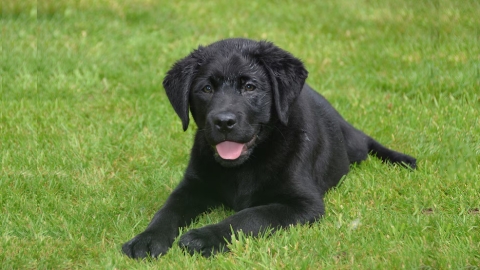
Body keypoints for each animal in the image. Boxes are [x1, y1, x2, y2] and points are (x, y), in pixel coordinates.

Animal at [121, 37, 416, 258]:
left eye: (250, 87)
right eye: (206, 89)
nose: (224, 122)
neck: (243, 166)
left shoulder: (303, 204)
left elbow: (250, 216)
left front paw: (205, 236)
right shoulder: (192, 186)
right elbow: (167, 210)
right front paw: (147, 239)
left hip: (353, 145)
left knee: (366, 141)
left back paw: (403, 159)